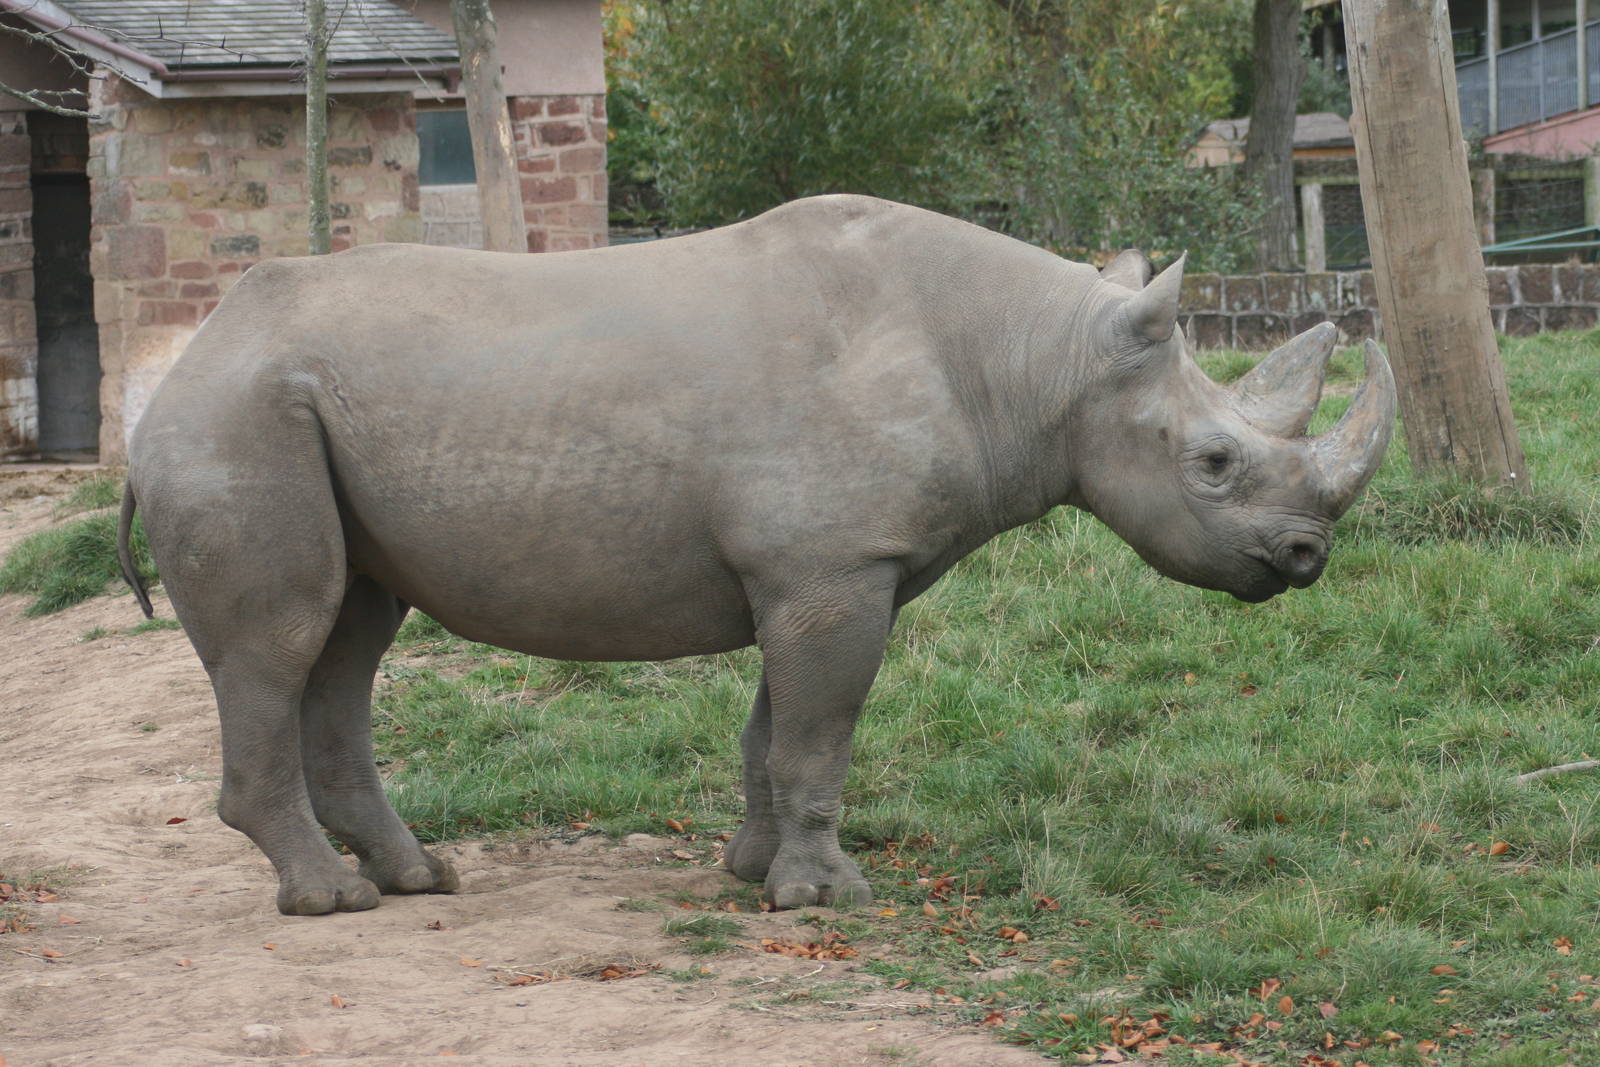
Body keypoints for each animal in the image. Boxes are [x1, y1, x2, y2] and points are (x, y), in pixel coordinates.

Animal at [117, 195, 1394, 916]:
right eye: (1214, 461)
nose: (1305, 555)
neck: (1040, 363)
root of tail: (177, 364)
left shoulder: (823, 571)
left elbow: (777, 728)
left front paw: (749, 870)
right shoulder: (833, 570)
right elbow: (819, 732)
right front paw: (827, 899)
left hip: (283, 411)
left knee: (351, 633)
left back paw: (415, 880)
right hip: (236, 420)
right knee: (284, 640)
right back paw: (327, 901)